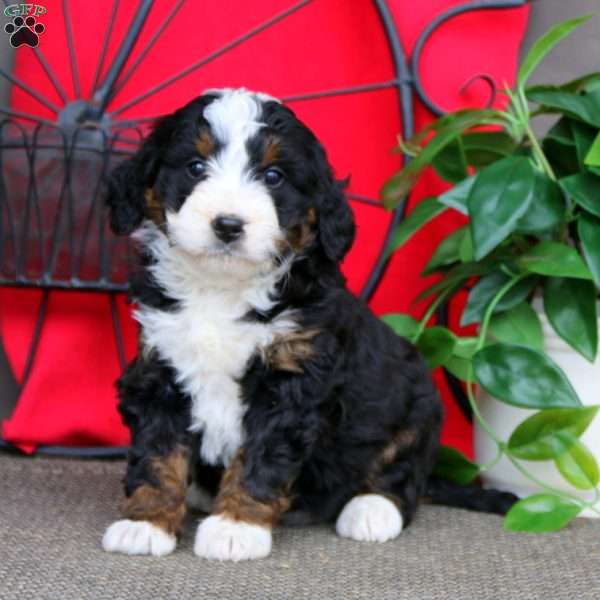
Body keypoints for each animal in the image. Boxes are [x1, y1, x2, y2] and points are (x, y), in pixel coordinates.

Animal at [101, 86, 512, 560]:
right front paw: (146, 522)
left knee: (403, 472)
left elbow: (260, 456)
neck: (221, 289)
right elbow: (157, 453)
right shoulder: (159, 368)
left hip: (418, 403)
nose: (228, 225)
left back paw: (371, 509)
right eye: (195, 167)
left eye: (274, 176)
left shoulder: (291, 381)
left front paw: (236, 526)